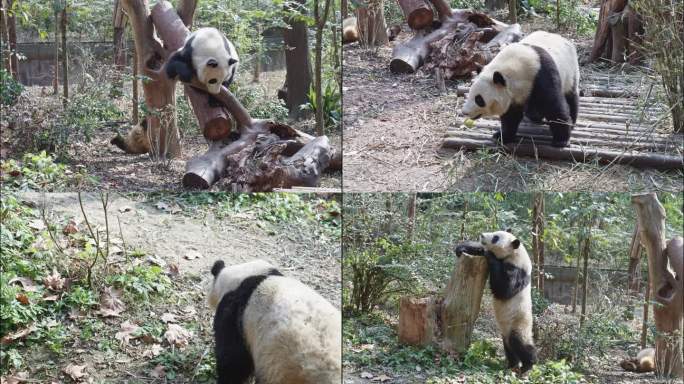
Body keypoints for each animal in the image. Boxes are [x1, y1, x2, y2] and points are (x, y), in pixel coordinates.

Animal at [454, 230, 540, 374]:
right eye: (495, 233)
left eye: (495, 238)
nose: (482, 235)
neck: (515, 254)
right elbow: (479, 250)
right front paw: (462, 248)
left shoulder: (517, 271)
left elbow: (505, 289)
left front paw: (490, 255)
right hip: (506, 331)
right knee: (509, 347)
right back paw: (512, 364)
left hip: (519, 322)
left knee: (520, 343)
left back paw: (528, 365)